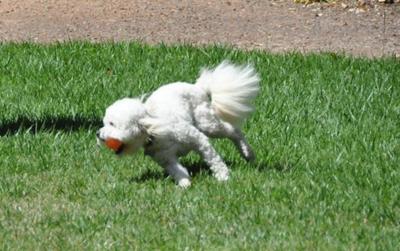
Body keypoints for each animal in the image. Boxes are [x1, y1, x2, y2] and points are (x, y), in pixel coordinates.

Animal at [97, 60, 260, 186]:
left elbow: (213, 159)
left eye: (112, 124)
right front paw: (184, 184)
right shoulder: (165, 158)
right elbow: (177, 170)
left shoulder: (197, 139)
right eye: (104, 123)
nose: (98, 133)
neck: (154, 131)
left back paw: (247, 153)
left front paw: (223, 176)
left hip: (207, 124)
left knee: (233, 131)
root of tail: (197, 87)